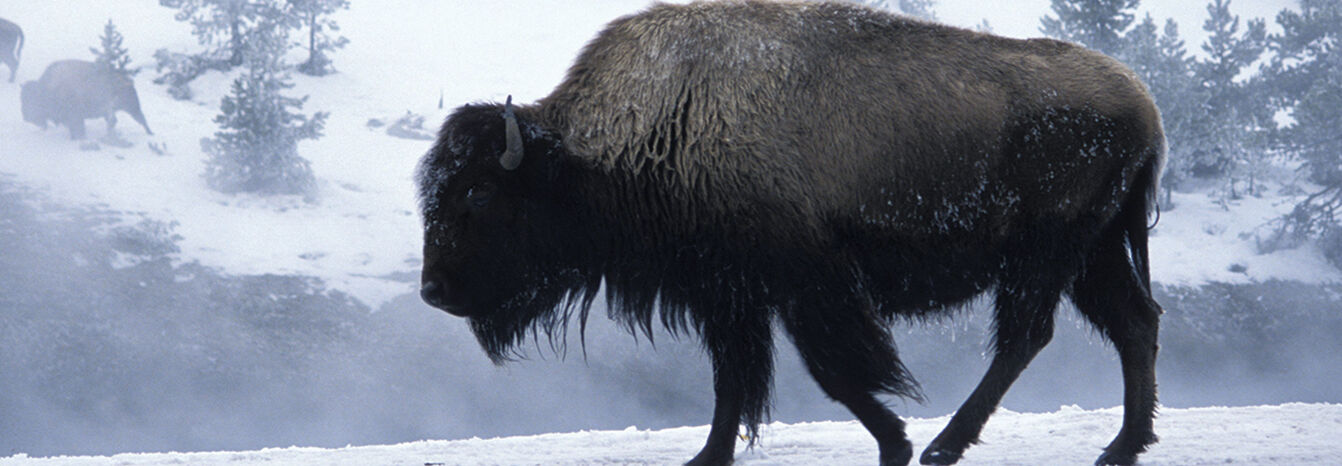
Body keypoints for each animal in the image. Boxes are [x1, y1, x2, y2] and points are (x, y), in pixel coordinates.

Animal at [21, 60, 152, 140]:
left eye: (32, 99)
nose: (26, 117)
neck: (49, 87)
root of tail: (128, 81)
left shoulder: (75, 117)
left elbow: (78, 128)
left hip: (131, 108)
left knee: (140, 119)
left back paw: (150, 133)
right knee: (117, 121)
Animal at [416, 2, 1165, 465]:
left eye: (478, 192)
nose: (432, 290)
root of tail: (1142, 102)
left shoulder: (805, 286)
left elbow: (831, 372)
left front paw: (895, 442)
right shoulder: (730, 296)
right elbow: (733, 381)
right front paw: (707, 456)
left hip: (1045, 254)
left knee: (1026, 336)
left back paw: (944, 446)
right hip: (1093, 253)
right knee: (1133, 323)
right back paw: (1121, 447)